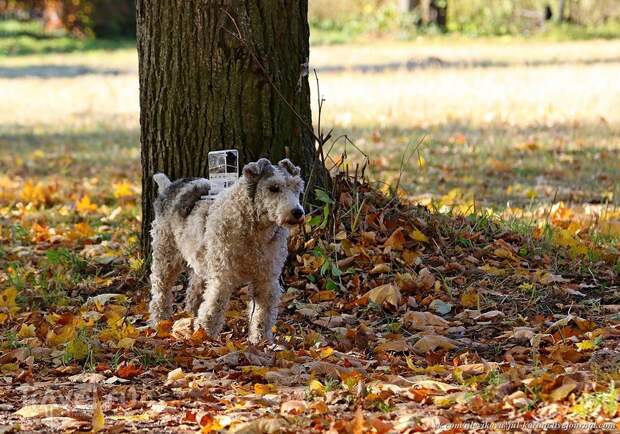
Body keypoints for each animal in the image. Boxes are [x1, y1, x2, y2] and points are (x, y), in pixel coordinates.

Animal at [150, 158, 306, 344]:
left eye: (297, 186)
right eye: (274, 187)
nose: (297, 212)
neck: (255, 230)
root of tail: (169, 186)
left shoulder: (266, 278)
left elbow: (263, 313)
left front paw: (261, 341)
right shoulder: (222, 276)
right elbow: (214, 305)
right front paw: (206, 335)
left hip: (201, 263)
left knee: (193, 292)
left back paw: (190, 317)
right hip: (166, 256)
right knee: (161, 292)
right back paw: (161, 322)